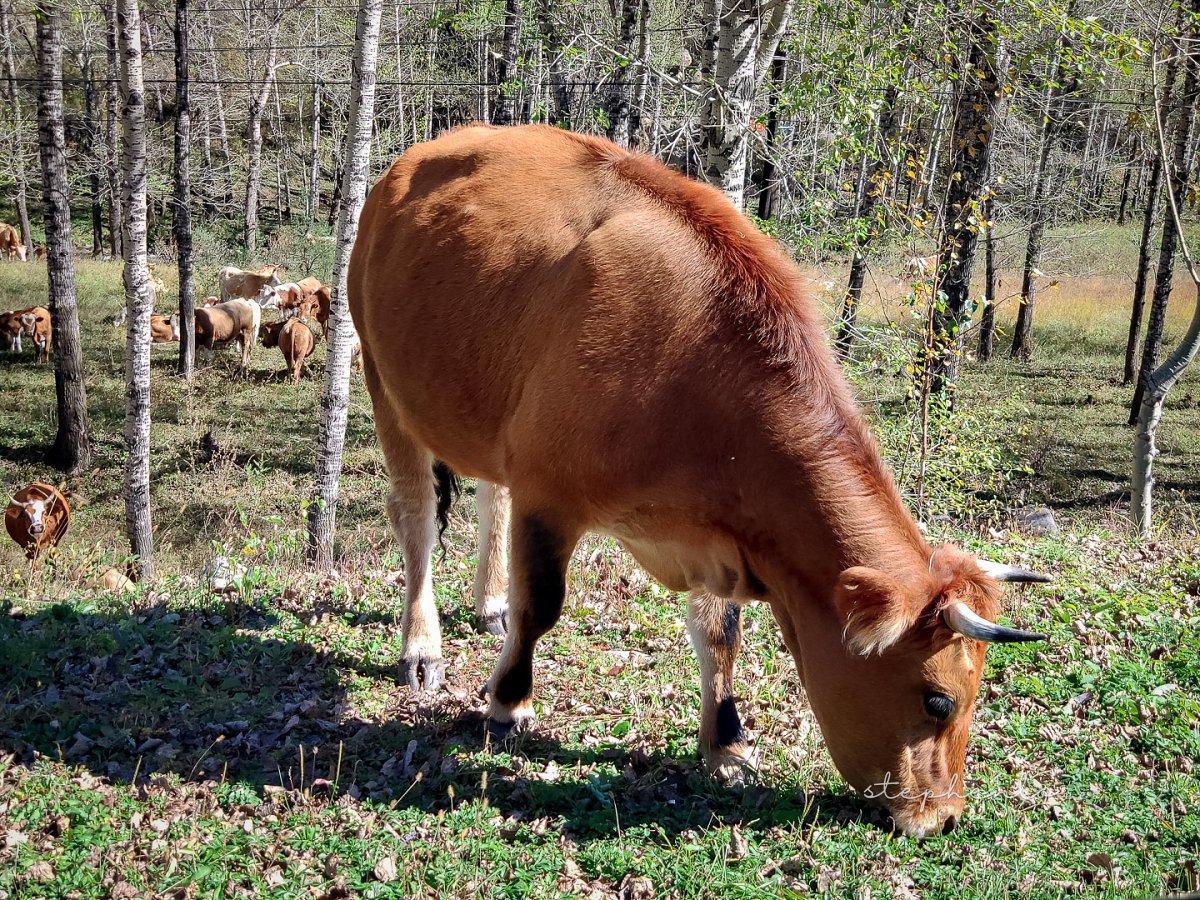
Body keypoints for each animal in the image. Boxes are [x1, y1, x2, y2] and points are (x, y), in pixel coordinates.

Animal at [350, 123, 1051, 844]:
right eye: (938, 699)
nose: (945, 817)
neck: (690, 369)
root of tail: (412, 161)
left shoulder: (719, 528)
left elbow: (721, 633)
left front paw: (725, 743)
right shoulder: (551, 494)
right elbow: (542, 603)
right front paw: (507, 703)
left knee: (493, 496)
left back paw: (490, 603)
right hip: (381, 375)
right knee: (415, 515)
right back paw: (421, 649)